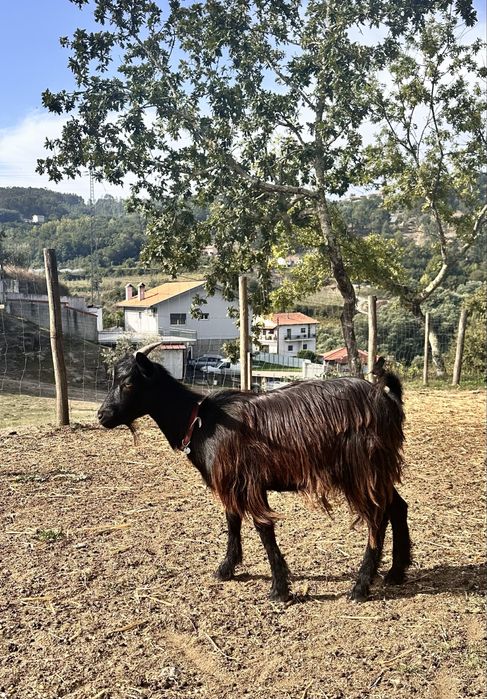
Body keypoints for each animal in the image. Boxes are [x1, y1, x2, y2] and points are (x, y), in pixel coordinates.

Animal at [98, 344, 411, 602]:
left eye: (128, 383)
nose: (102, 416)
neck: (201, 421)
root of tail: (388, 400)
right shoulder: (230, 481)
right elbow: (232, 520)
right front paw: (226, 568)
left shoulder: (250, 482)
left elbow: (263, 528)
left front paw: (279, 589)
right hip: (378, 469)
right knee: (397, 506)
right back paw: (396, 571)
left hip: (361, 468)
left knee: (377, 517)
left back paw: (360, 587)